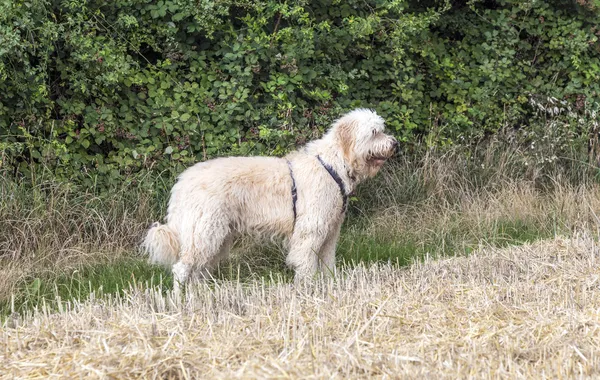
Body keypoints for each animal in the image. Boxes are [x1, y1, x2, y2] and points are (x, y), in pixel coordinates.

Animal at [142, 108, 398, 284]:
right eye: (374, 133)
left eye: (381, 129)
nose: (395, 143)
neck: (331, 164)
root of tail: (182, 182)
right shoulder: (310, 230)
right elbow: (305, 263)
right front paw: (308, 289)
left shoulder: (331, 231)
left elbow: (327, 264)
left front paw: (330, 285)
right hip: (204, 233)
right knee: (181, 269)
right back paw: (181, 303)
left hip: (216, 237)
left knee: (197, 271)